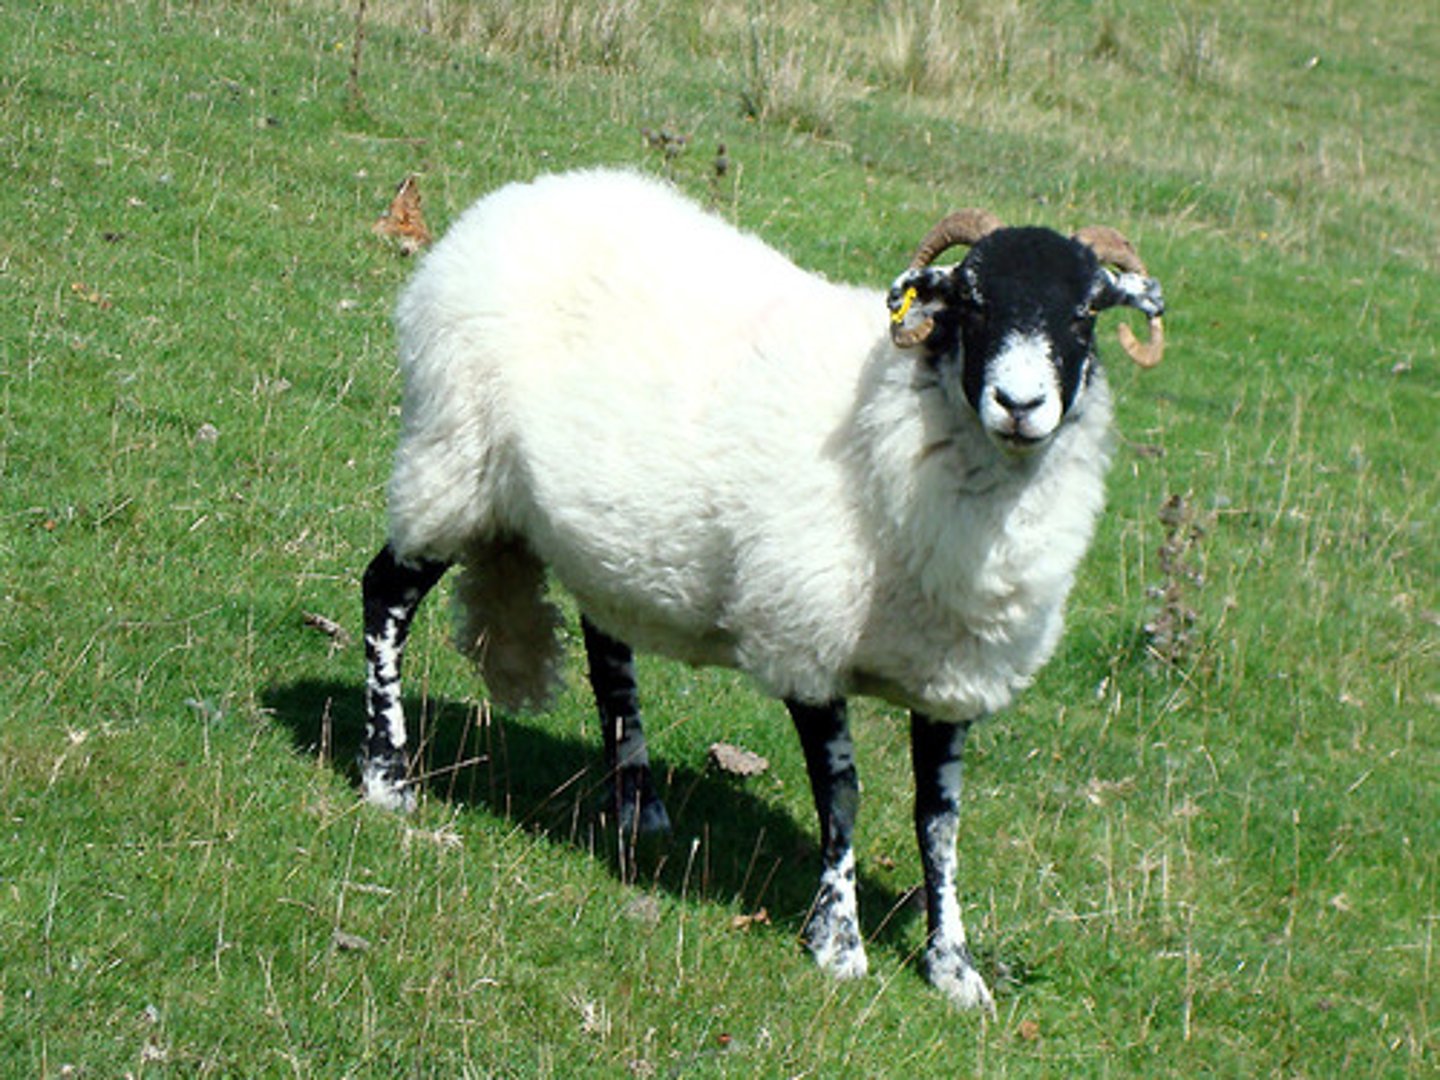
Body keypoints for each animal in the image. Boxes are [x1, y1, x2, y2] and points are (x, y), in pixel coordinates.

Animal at [359, 168, 1166, 1011]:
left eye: (1086, 311)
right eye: (970, 301)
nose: (1020, 405)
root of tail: (513, 198)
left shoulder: (950, 675)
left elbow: (939, 823)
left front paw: (954, 965)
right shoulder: (804, 633)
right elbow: (842, 796)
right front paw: (838, 941)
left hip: (596, 529)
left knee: (608, 649)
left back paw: (637, 802)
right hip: (451, 460)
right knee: (384, 597)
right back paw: (387, 776)